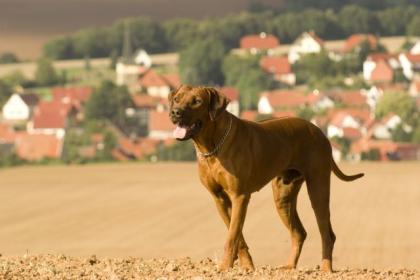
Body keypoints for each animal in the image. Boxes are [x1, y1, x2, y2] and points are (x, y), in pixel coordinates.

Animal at [167, 85, 364, 272]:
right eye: (176, 99)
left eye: (197, 101)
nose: (175, 112)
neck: (212, 146)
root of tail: (319, 131)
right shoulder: (220, 199)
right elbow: (237, 236)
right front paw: (246, 267)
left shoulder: (239, 196)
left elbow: (232, 237)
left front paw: (224, 267)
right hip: (282, 196)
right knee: (299, 232)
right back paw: (290, 266)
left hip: (318, 188)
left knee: (327, 233)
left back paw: (325, 268)